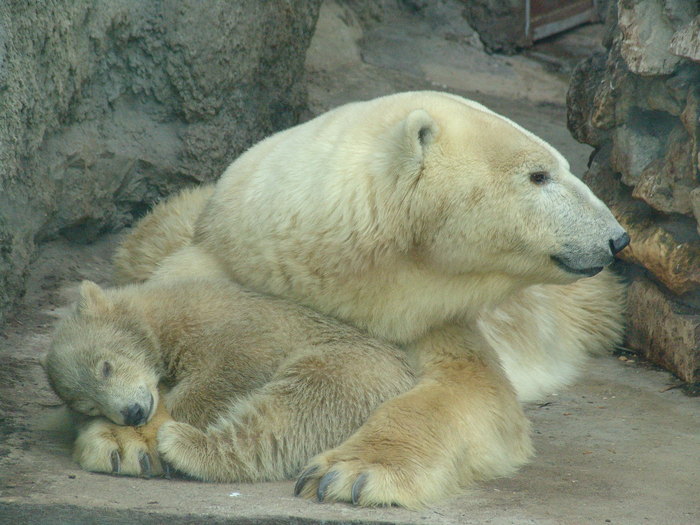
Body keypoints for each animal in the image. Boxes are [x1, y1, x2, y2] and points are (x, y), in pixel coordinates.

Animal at [116, 92, 628, 506]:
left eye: (559, 167)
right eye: (539, 175)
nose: (617, 237)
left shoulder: (435, 318)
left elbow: (468, 392)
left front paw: (350, 473)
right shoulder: (218, 264)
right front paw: (129, 439)